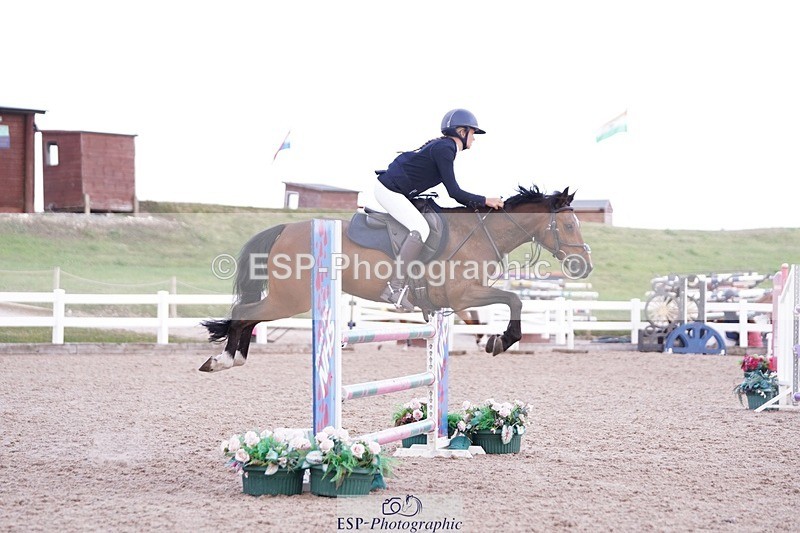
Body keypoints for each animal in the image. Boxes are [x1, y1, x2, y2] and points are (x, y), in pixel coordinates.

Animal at [199, 185, 592, 372]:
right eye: (569, 225)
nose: (583, 266)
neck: (480, 233)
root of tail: (283, 229)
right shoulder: (464, 295)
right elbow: (514, 299)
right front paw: (501, 340)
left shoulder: (459, 301)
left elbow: (499, 307)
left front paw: (491, 337)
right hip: (291, 299)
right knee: (245, 314)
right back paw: (224, 359)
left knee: (247, 315)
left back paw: (229, 358)